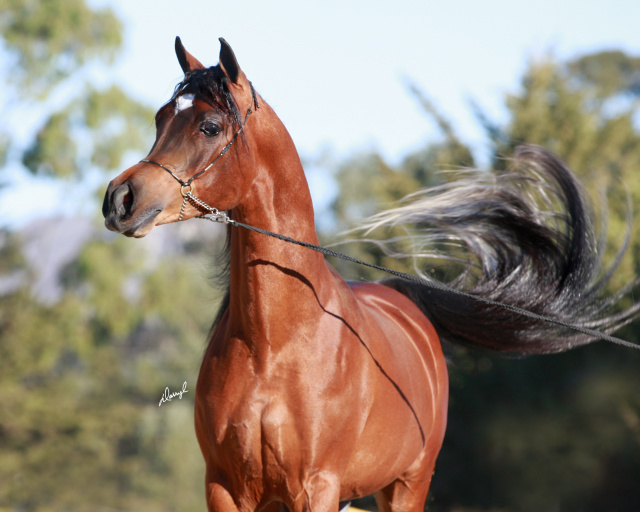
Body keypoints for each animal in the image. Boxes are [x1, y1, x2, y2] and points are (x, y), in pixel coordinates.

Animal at [102, 38, 636, 510]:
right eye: (161, 117)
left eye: (210, 125)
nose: (120, 198)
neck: (273, 347)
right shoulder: (226, 490)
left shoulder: (315, 488)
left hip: (407, 486)